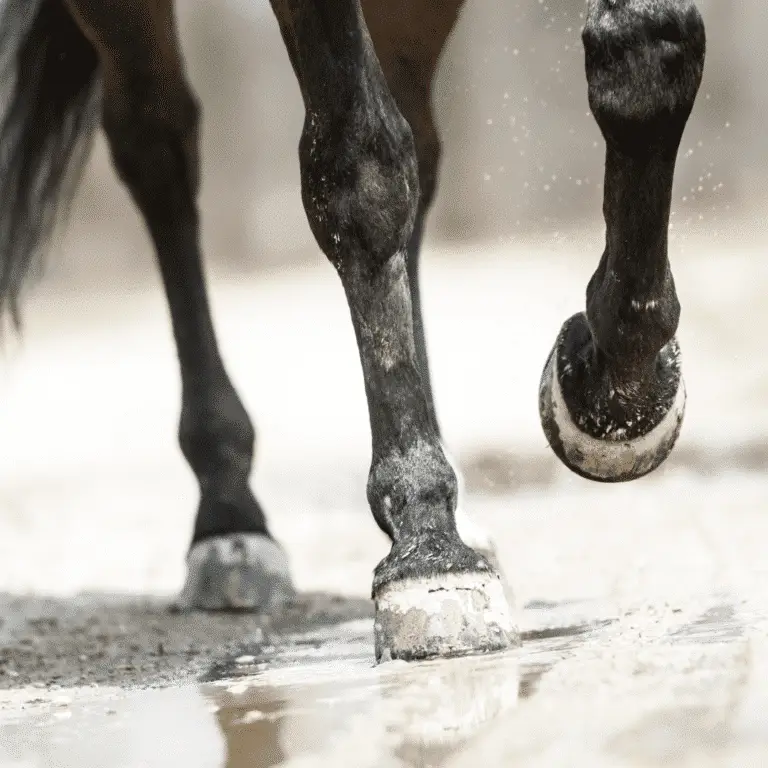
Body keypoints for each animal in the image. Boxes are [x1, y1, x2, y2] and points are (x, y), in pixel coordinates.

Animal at [0, 0, 704, 664]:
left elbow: (646, 49)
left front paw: (614, 397)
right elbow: (361, 170)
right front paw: (427, 548)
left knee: (419, 141)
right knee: (158, 146)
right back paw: (229, 518)